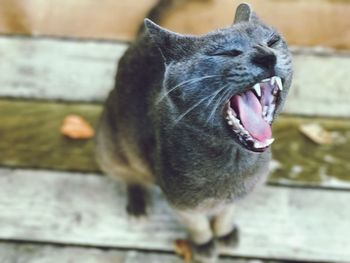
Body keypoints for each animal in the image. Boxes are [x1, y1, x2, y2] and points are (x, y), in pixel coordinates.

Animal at [95, 1, 292, 262]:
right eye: (227, 53)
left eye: (272, 41)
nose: (267, 56)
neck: (232, 160)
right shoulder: (180, 202)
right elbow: (197, 224)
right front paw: (205, 245)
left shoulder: (237, 196)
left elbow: (226, 213)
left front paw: (225, 233)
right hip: (111, 146)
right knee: (130, 175)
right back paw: (138, 208)